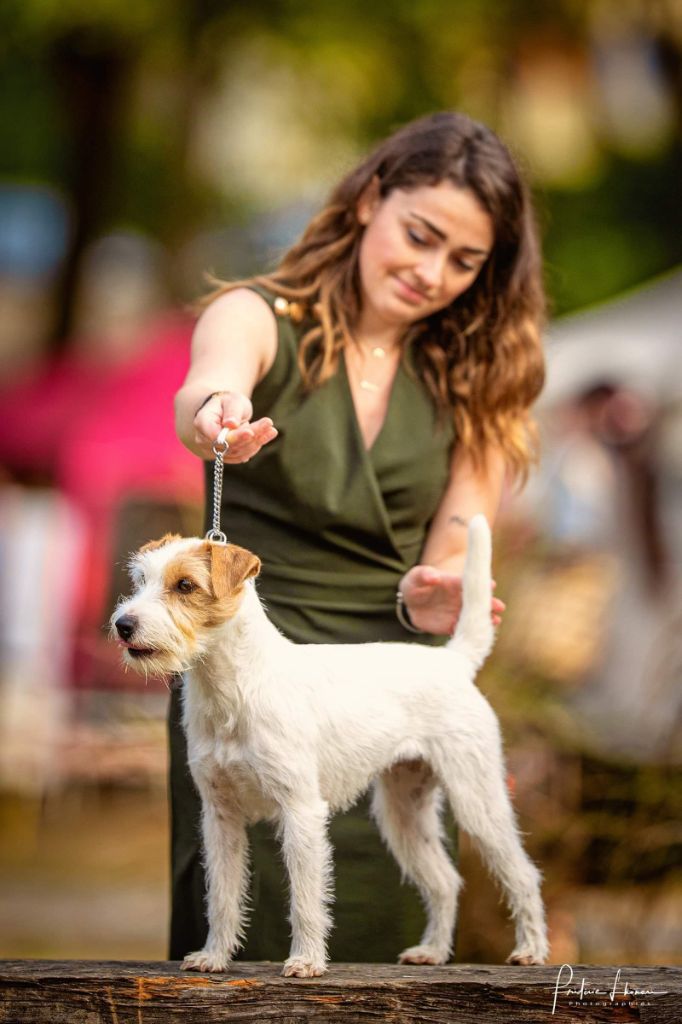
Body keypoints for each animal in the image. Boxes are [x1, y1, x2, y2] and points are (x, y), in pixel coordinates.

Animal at [111, 516, 548, 978]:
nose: (123, 625)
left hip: (477, 800)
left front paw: (305, 961)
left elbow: (305, 898)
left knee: (523, 875)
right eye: (140, 580)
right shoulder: (221, 817)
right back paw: (431, 951)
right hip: (403, 812)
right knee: (445, 881)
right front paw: (213, 956)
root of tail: (452, 661)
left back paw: (531, 950)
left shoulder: (301, 811)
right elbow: (222, 896)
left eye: (185, 585)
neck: (234, 689)